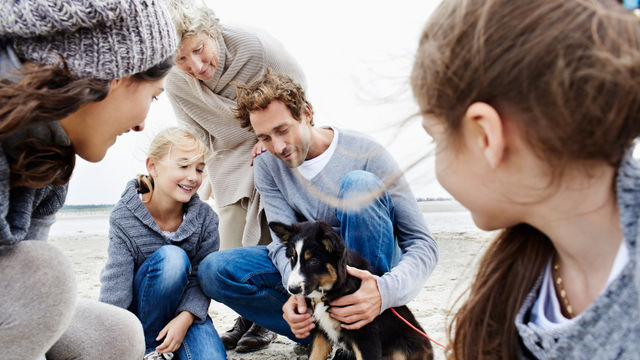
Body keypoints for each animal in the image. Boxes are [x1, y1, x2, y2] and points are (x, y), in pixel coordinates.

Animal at [268, 219, 432, 360]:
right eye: (292, 258)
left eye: (313, 261)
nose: (292, 289)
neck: (328, 292)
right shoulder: (320, 332)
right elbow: (314, 356)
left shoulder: (364, 333)